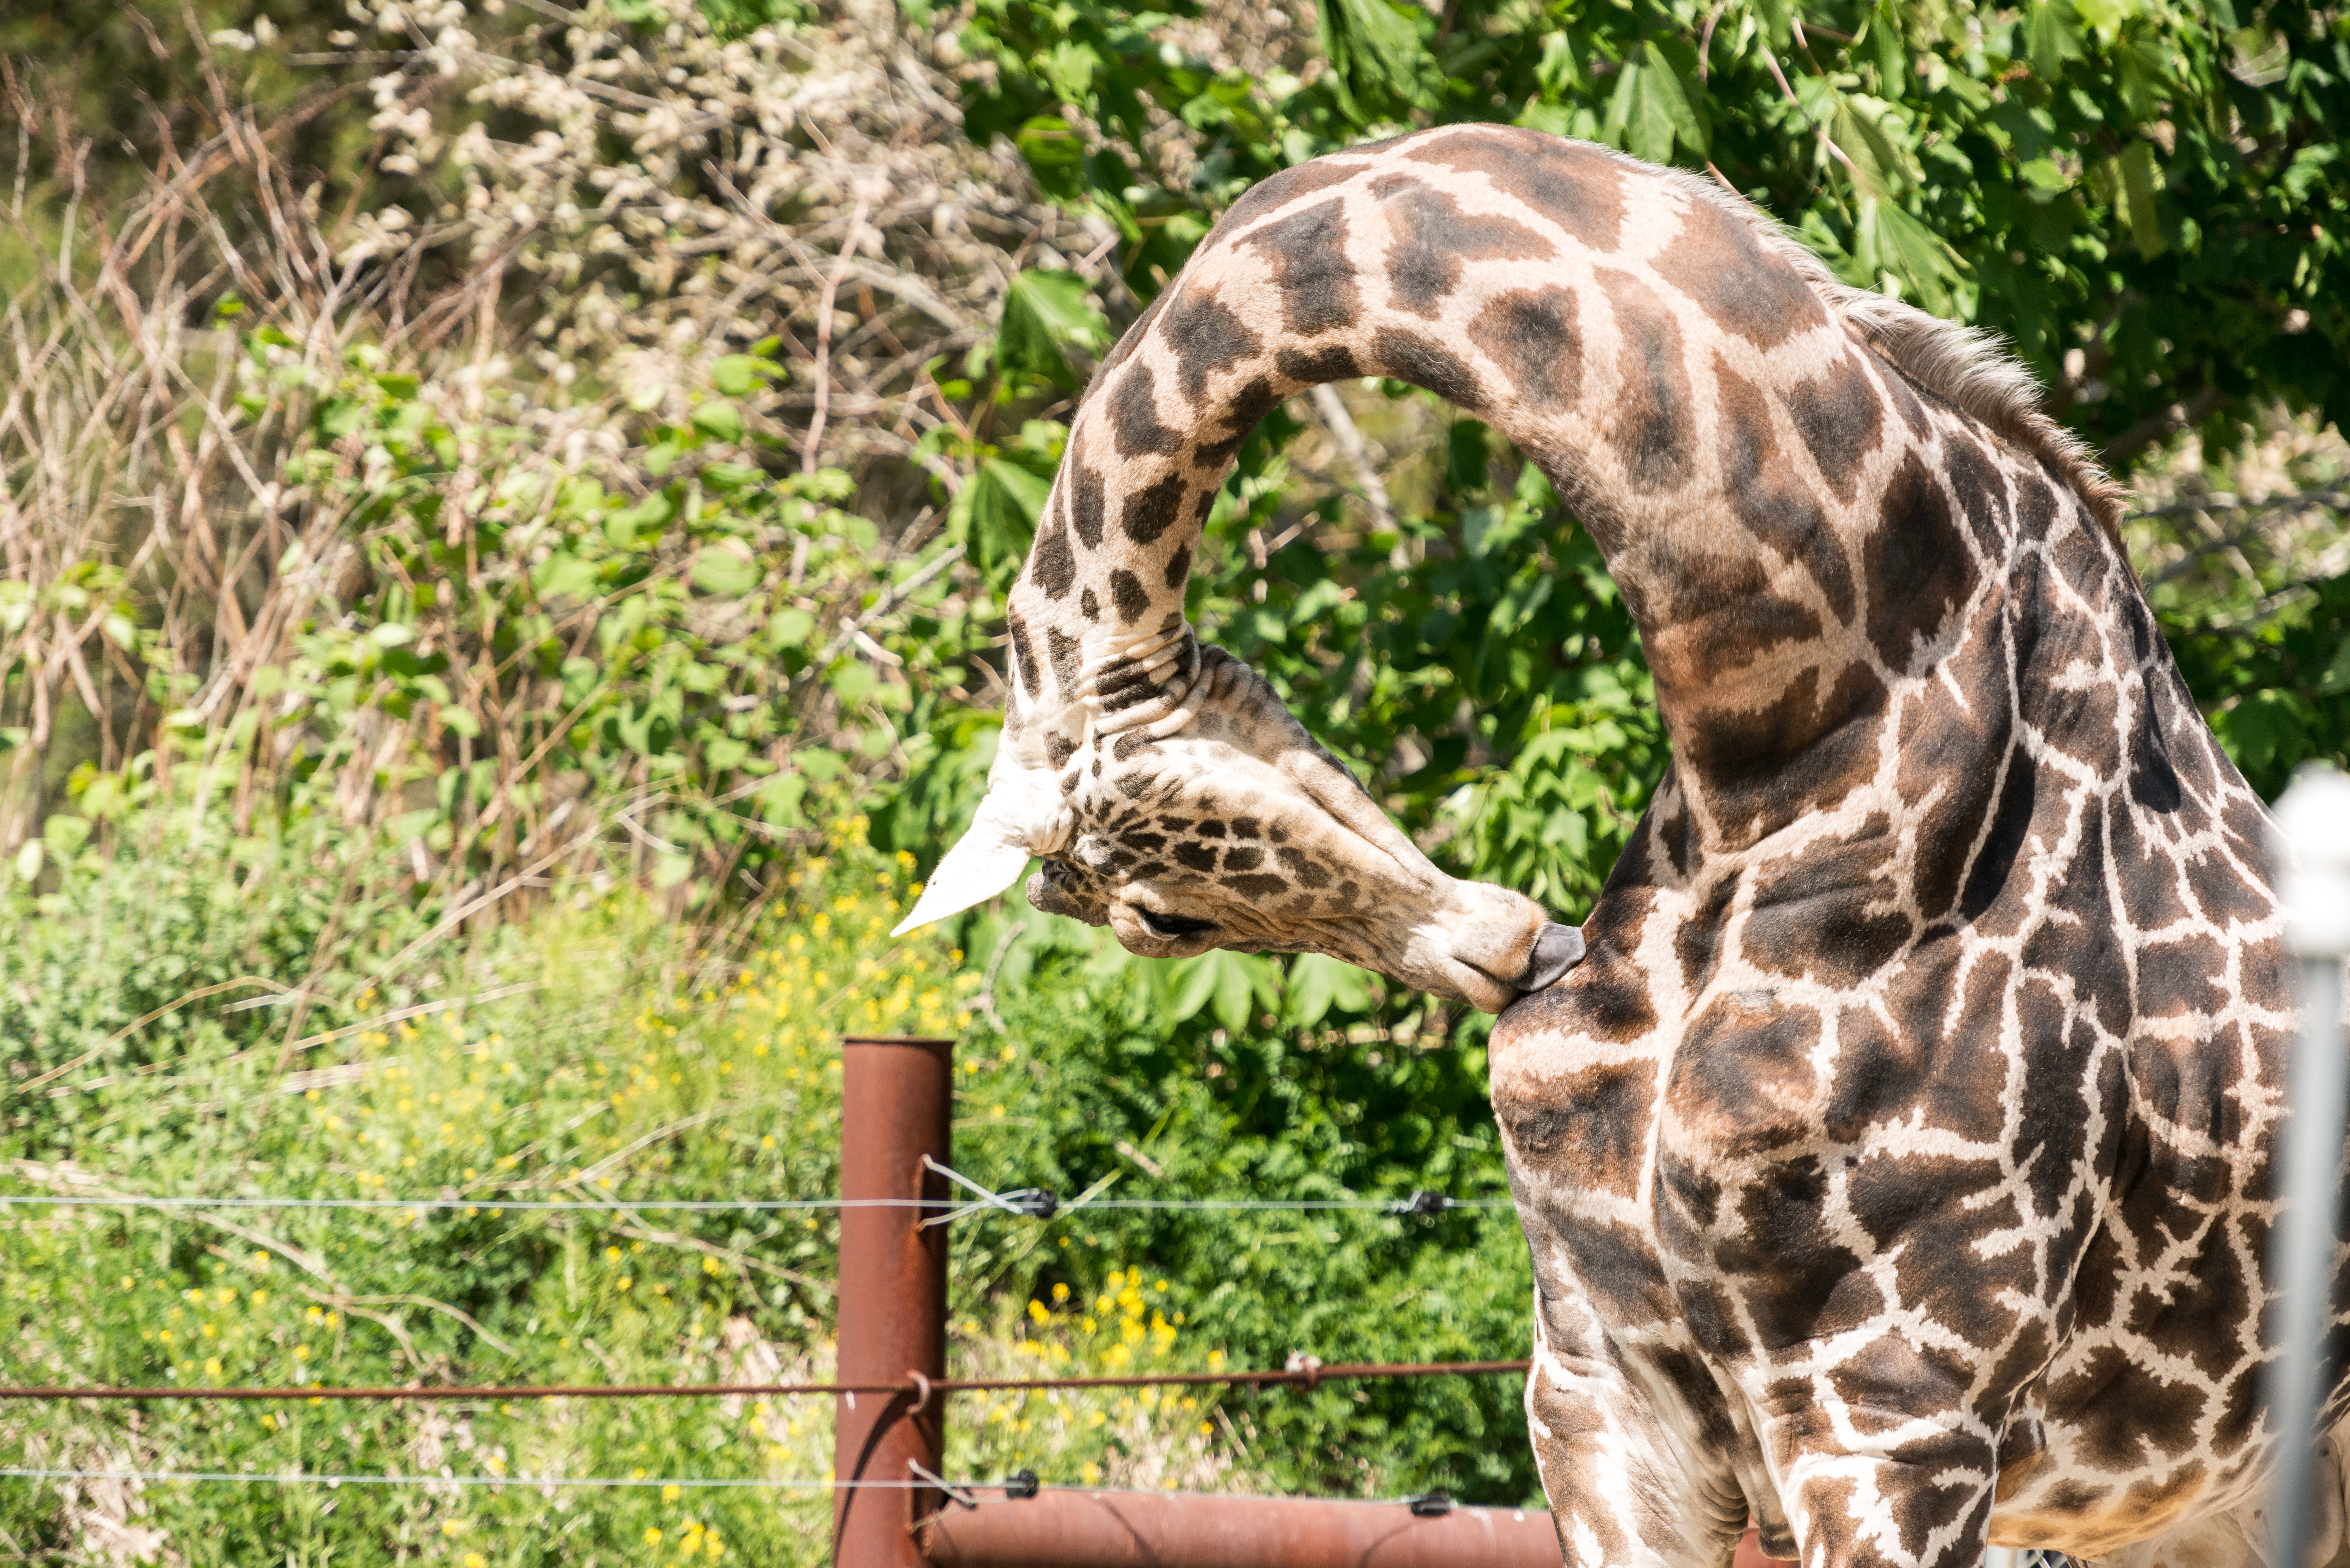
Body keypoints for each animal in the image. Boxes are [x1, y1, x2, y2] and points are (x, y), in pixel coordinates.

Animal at [883, 126, 2331, 1568]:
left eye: (1151, 922)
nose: (1505, 951)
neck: (1783, 749)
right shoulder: (1596, 1388)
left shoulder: (1892, 1411)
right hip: (2192, 1498)